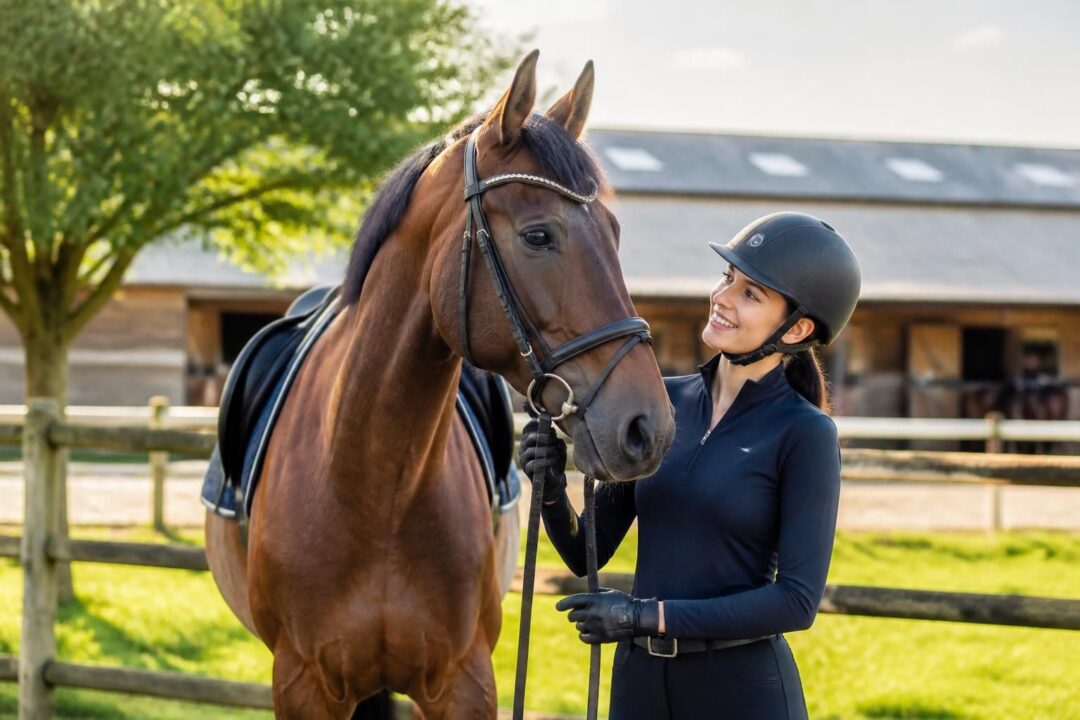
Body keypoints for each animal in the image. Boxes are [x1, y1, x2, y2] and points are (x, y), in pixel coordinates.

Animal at [205, 50, 675, 719]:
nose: (647, 427)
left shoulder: (464, 681)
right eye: (538, 234)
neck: (374, 488)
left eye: (613, 233)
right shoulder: (302, 686)